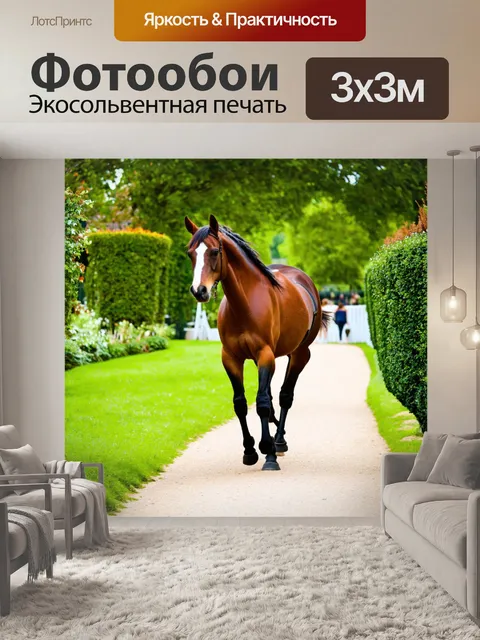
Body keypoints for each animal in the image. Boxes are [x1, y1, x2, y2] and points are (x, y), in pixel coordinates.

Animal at [185, 215, 329, 471]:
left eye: (214, 252)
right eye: (190, 253)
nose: (199, 290)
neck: (245, 304)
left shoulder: (265, 355)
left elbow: (262, 402)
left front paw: (268, 453)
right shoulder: (231, 358)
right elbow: (241, 403)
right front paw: (250, 450)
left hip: (300, 354)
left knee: (284, 396)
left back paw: (278, 442)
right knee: (271, 398)